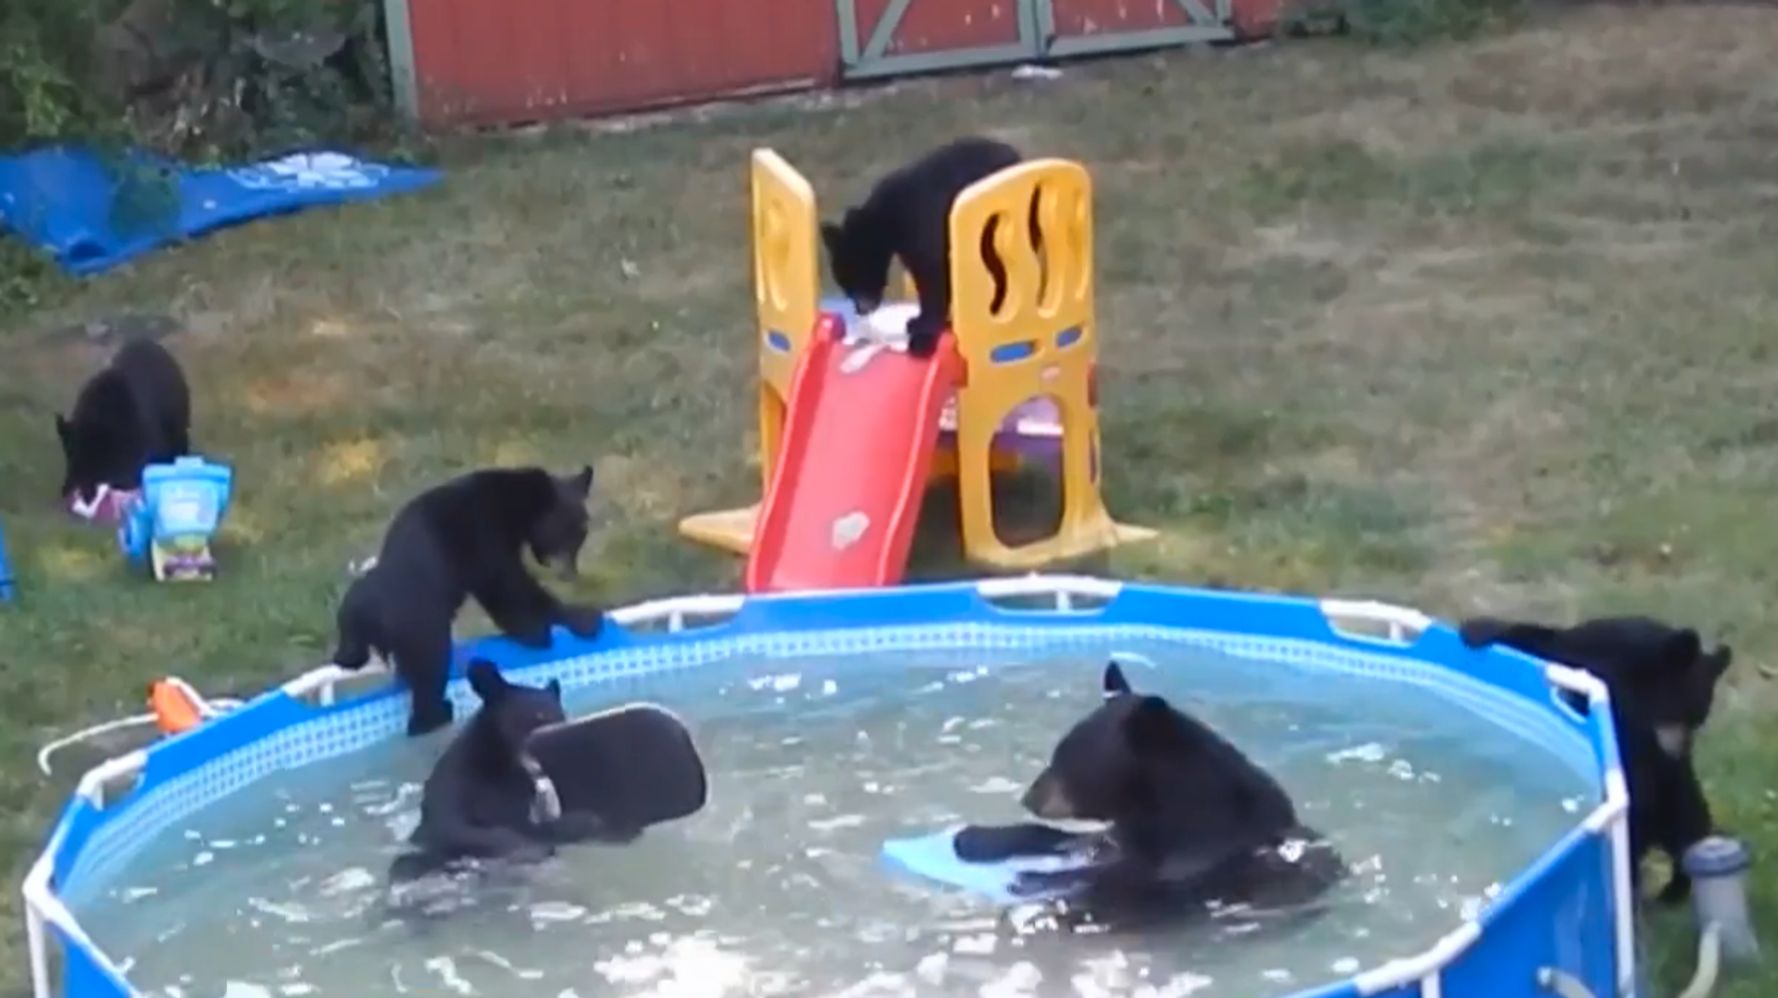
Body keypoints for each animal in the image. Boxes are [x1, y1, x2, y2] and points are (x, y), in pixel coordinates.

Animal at [334, 462, 604, 736]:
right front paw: (549, 627)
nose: (571, 574)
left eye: (581, 536)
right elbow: (509, 586)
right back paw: (436, 715)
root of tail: (363, 612)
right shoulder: (483, 536)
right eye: (566, 533)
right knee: (430, 666)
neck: (513, 508)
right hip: (418, 618)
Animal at [821, 136, 1024, 357]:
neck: (888, 220)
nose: (859, 309)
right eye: (843, 281)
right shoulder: (913, 255)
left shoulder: (928, 246)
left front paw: (924, 337)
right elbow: (925, 286)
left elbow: (933, 288)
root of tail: (1015, 154)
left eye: (857, 273)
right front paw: (923, 321)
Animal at [960, 658, 1344, 932]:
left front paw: (1033, 882)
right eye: (1058, 753)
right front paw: (973, 838)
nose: (1029, 797)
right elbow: (1077, 843)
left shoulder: (1198, 858)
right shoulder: (1126, 833)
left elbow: (1118, 881)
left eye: (1066, 758)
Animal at [1457, 615, 1735, 903]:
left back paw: (1670, 888)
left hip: (1673, 798)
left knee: (1688, 833)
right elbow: (1544, 644)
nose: (1680, 750)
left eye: (1699, 718)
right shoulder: (1586, 651)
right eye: (1680, 710)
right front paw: (1478, 629)